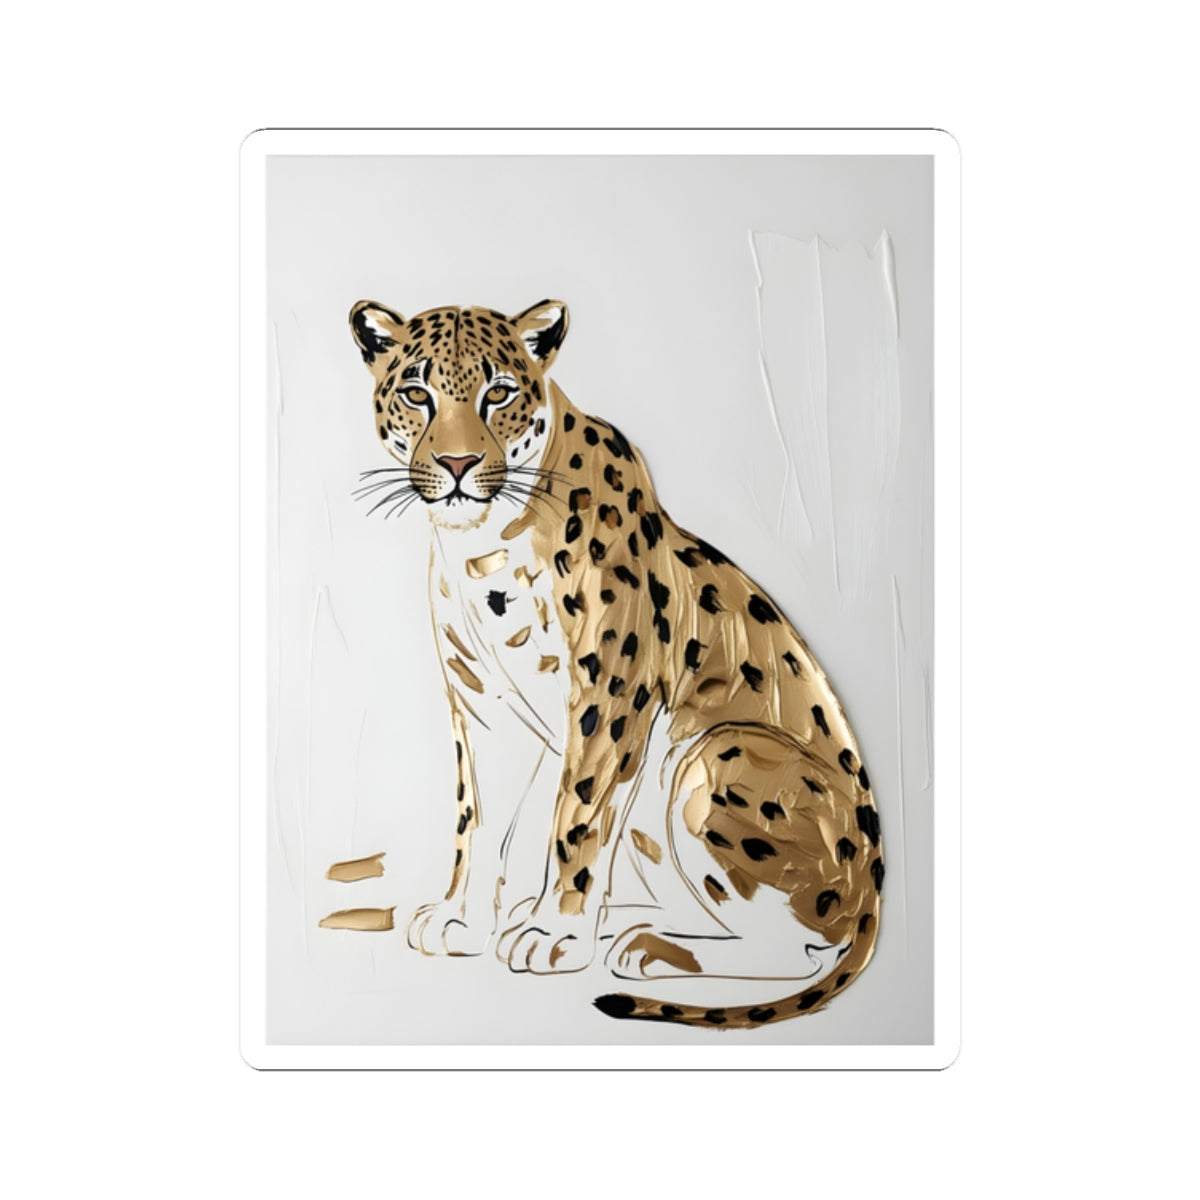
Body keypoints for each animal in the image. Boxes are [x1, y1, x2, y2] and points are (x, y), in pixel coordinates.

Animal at [348, 296, 883, 1028]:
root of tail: (874, 896)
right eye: (416, 393)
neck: (481, 544)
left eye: (499, 394)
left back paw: (645, 944)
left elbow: (576, 818)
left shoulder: (610, 692)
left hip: (711, 756)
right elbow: (475, 817)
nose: (458, 463)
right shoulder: (481, 702)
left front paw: (554, 934)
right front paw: (463, 918)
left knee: (798, 947)